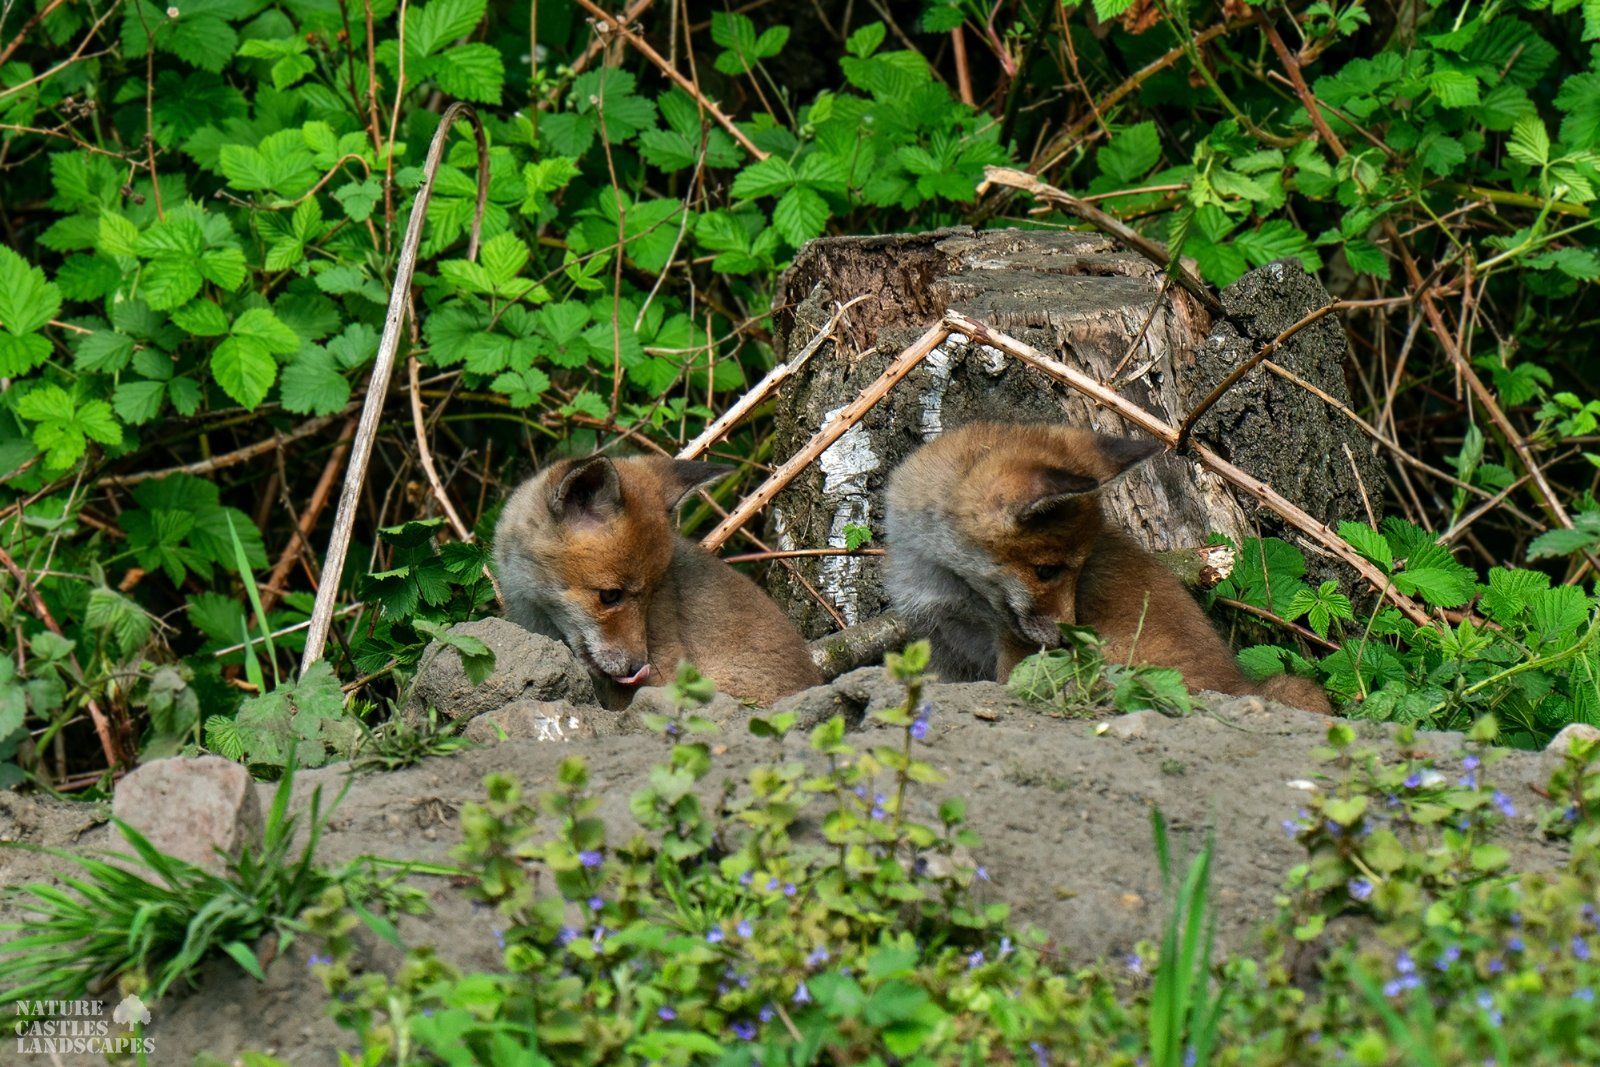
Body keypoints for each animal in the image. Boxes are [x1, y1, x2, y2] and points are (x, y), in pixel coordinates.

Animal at [883, 422, 1331, 715]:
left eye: (1079, 570)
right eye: (1047, 571)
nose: (1065, 638)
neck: (946, 582)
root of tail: (1237, 684)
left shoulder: (1013, 649)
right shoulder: (940, 645)